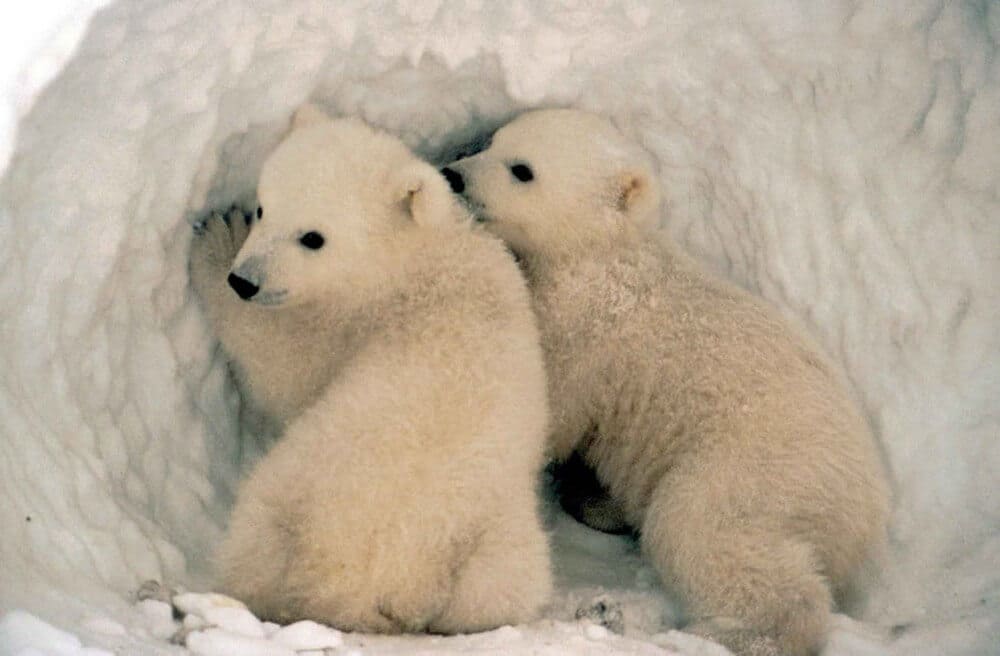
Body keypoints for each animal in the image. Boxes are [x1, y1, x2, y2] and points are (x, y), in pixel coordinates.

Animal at [188, 106, 553, 634]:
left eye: (313, 238)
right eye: (263, 208)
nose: (244, 280)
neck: (415, 259)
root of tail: (371, 586)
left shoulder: (346, 324)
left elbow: (283, 369)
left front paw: (215, 241)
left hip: (292, 494)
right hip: (492, 550)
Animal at [441, 108, 890, 656]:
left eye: (522, 169)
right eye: (491, 142)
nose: (454, 175)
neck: (601, 254)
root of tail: (866, 513)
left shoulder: (584, 329)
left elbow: (549, 408)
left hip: (760, 467)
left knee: (702, 528)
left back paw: (718, 633)